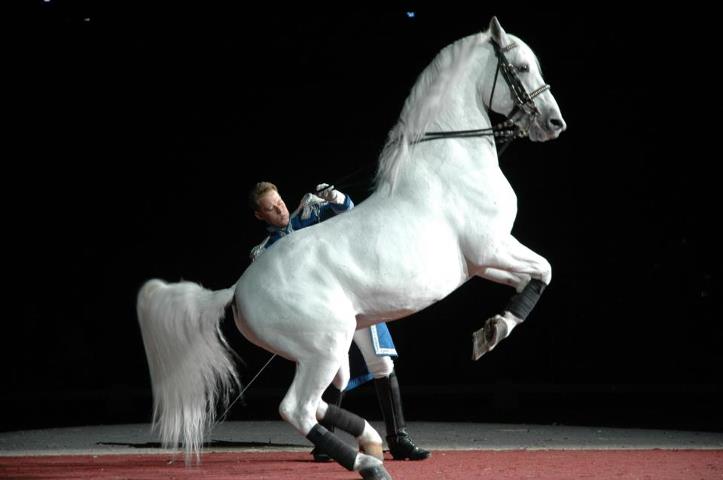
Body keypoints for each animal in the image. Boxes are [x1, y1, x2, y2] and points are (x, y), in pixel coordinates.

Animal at [137, 17, 564, 480]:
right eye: (521, 68)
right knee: (298, 408)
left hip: (330, 347)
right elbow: (545, 268)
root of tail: (236, 290)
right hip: (325, 345)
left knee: (333, 395)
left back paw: (374, 441)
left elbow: (534, 276)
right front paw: (495, 331)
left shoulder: (482, 263)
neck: (449, 162)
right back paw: (366, 462)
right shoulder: (491, 248)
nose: (555, 123)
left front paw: (490, 331)